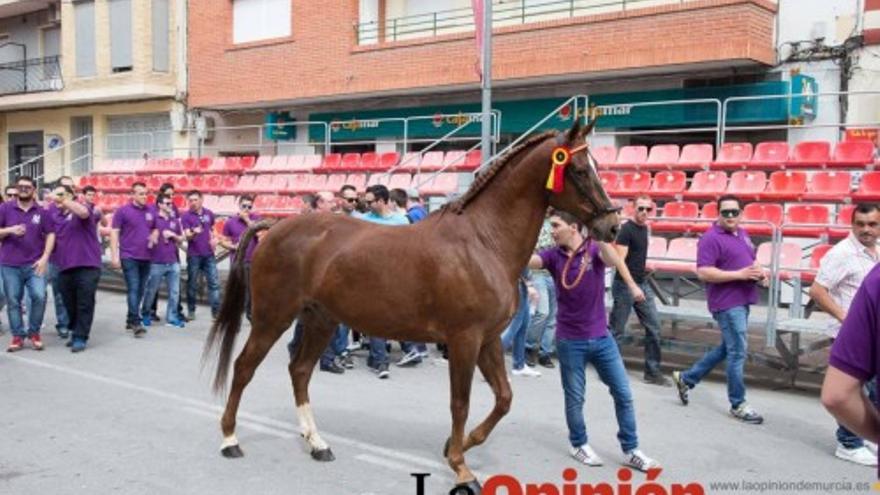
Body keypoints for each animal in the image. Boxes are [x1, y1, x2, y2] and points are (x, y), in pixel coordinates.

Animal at [205, 119, 620, 492]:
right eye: (580, 170)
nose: (612, 226)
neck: (483, 241)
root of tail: (274, 227)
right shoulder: (464, 339)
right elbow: (460, 402)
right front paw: (461, 468)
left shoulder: (487, 340)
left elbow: (504, 398)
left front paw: (457, 445)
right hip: (272, 318)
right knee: (244, 368)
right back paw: (229, 440)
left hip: (320, 320)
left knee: (301, 371)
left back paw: (317, 444)